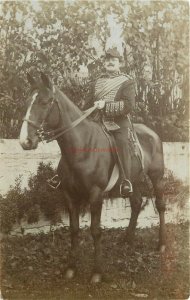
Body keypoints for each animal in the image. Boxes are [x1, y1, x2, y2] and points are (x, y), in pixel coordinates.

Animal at [18, 72, 166, 284]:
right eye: (27, 102)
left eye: (45, 102)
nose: (25, 141)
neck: (82, 146)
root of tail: (152, 133)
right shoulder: (70, 196)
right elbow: (74, 229)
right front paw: (71, 268)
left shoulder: (96, 195)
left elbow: (95, 231)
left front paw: (97, 272)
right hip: (134, 179)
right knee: (137, 202)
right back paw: (127, 239)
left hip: (157, 177)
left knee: (160, 205)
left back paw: (161, 244)